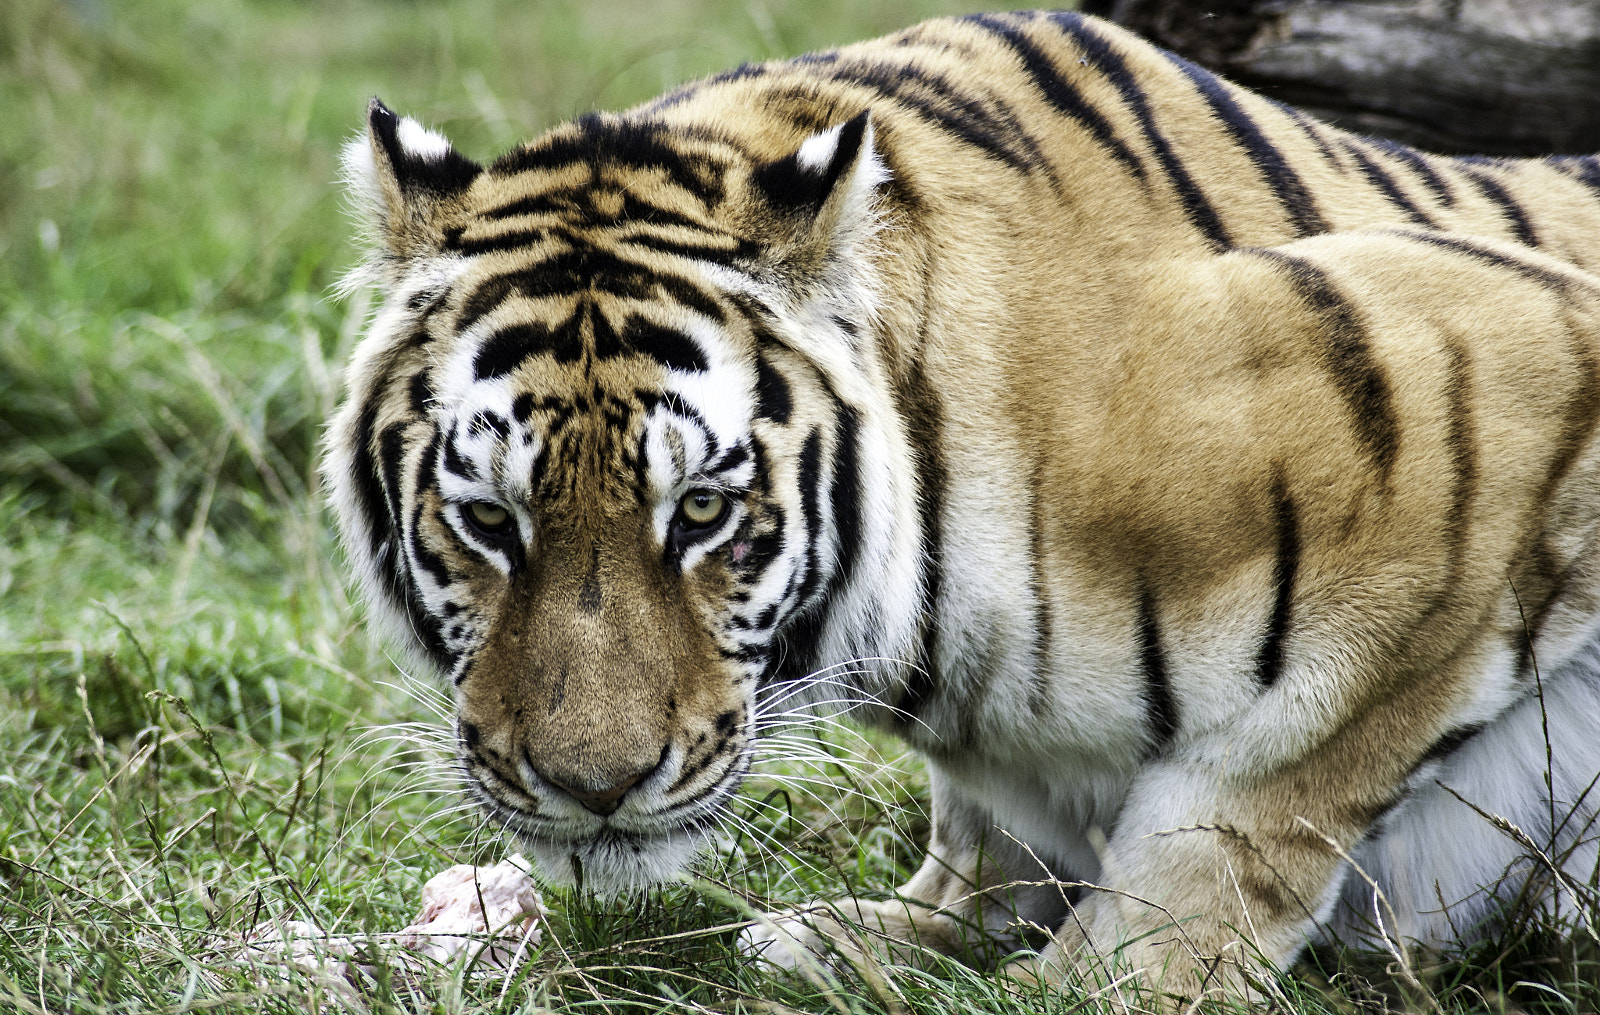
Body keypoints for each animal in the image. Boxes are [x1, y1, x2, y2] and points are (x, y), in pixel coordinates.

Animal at [324, 8, 1600, 1003]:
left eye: (699, 512)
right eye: (490, 521)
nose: (594, 791)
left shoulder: (1479, 398)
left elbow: (1241, 809)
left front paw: (1094, 984)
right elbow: (990, 824)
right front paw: (894, 934)